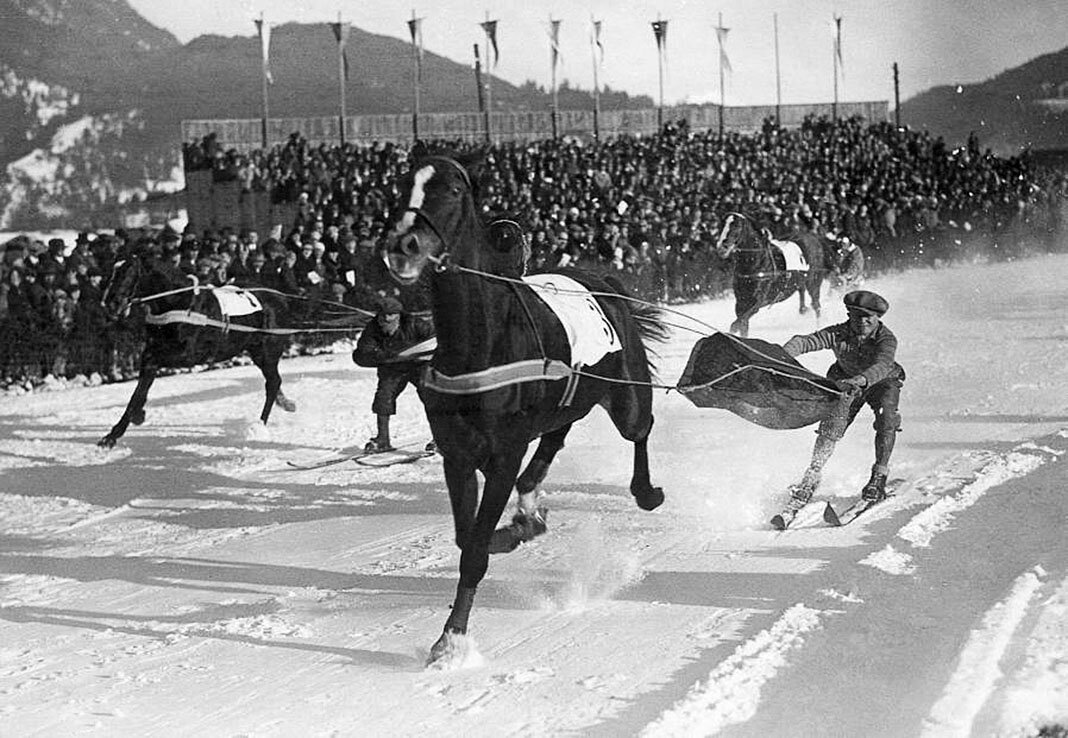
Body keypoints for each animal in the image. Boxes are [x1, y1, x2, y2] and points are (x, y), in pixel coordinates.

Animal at [98, 254, 296, 450]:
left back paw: (259, 426)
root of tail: (280, 298)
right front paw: (114, 434)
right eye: (113, 273)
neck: (181, 303)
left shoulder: (187, 355)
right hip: (257, 352)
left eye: (129, 273)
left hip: (268, 351)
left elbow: (151, 370)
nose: (111, 303)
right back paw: (285, 403)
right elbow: (139, 391)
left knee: (273, 383)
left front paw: (136, 416)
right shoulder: (151, 353)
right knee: (274, 382)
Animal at [384, 152, 666, 666]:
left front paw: (452, 639)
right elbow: (469, 536)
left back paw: (646, 491)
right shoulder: (458, 454)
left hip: (626, 395)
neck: (481, 341)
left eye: (453, 189)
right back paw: (531, 502)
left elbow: (475, 546)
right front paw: (520, 526)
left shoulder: (504, 452)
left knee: (640, 428)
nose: (403, 246)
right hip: (569, 400)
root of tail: (603, 279)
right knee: (555, 439)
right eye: (401, 186)